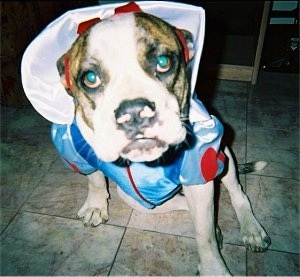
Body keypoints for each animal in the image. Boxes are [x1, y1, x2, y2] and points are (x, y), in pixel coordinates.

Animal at [22, 1, 272, 274]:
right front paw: (96, 205)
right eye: (90, 78)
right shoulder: (78, 153)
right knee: (182, 205)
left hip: (221, 154)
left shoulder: (200, 170)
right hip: (133, 198)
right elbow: (95, 178)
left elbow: (204, 237)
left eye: (163, 62)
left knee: (236, 193)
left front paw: (213, 268)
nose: (133, 112)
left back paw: (251, 229)